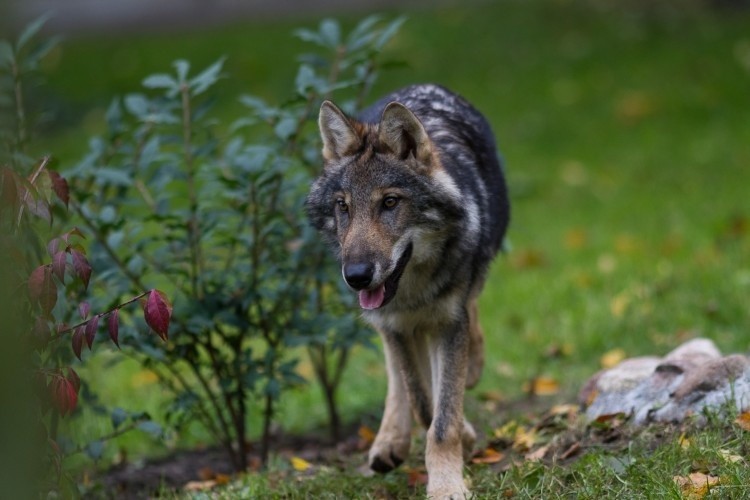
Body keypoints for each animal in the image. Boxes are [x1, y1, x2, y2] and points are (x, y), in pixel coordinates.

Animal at [306, 84, 512, 498]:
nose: (356, 276)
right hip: (389, 324)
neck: (414, 290)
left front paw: (447, 485)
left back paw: (473, 366)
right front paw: (462, 439)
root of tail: (423, 87)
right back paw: (389, 442)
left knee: (472, 318)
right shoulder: (396, 324)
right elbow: (424, 404)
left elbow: (443, 418)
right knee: (397, 373)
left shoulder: (448, 322)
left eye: (390, 202)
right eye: (343, 207)